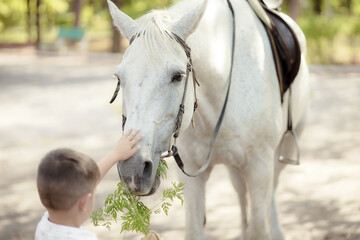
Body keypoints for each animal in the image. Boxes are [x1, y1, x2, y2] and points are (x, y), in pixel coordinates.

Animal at [106, 0, 310, 238]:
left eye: (177, 76)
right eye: (119, 77)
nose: (133, 169)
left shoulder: (260, 167)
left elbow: (259, 227)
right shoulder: (191, 175)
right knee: (241, 191)